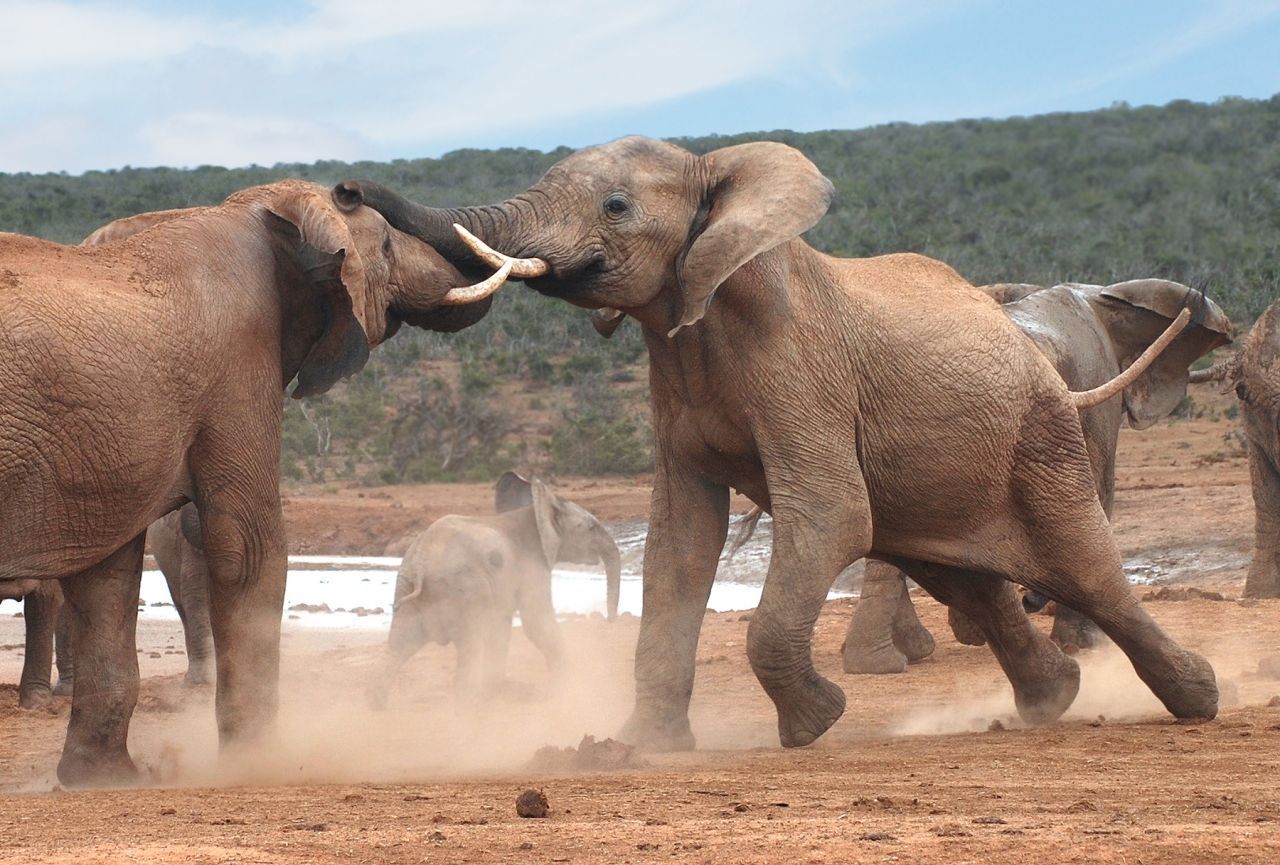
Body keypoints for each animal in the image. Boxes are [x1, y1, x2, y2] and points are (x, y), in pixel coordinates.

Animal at [0, 177, 509, 783]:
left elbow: (107, 575)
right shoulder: (237, 369)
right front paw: (261, 762)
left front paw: (106, 779)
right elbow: (247, 546)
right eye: (385, 246)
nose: (350, 187)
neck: (258, 214)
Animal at [368, 473, 622, 711]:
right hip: (462, 589)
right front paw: (564, 689)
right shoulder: (532, 565)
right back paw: (467, 706)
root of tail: (420, 560)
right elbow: (536, 623)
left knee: (399, 644)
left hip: (407, 586)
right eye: (591, 527)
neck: (535, 510)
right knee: (469, 645)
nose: (610, 621)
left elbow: (501, 627)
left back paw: (378, 707)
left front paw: (498, 689)